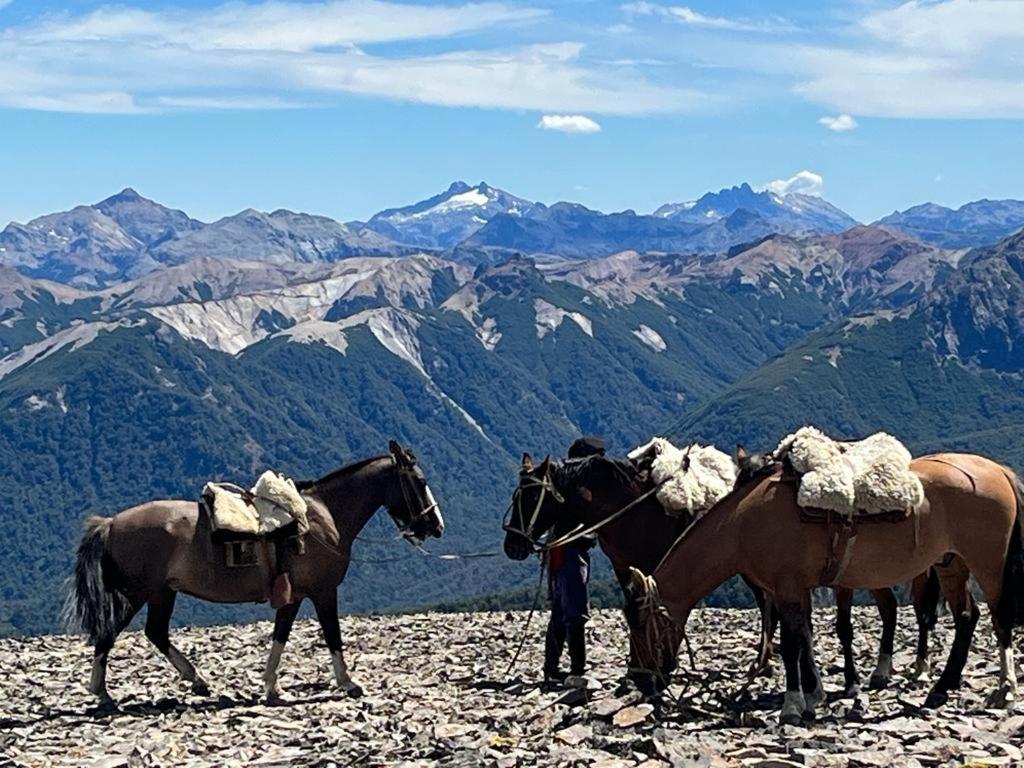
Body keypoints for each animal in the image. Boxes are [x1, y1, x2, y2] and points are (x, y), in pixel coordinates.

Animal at [65, 438, 444, 708]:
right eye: (420, 480)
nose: (436, 525)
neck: (323, 516)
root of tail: (111, 523)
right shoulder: (323, 592)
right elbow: (332, 635)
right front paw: (348, 683)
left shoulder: (293, 596)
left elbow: (280, 636)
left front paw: (271, 687)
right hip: (140, 593)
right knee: (112, 632)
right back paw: (103, 693)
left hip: (161, 593)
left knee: (154, 632)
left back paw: (193, 681)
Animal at [622, 454, 1024, 724]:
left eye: (640, 624)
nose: (642, 681)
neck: (744, 523)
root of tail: (997, 470)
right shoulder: (795, 590)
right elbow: (805, 638)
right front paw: (813, 695)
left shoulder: (785, 589)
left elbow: (790, 645)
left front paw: (792, 705)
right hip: (951, 563)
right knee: (967, 616)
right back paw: (941, 688)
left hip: (988, 564)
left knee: (1000, 619)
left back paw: (1004, 689)